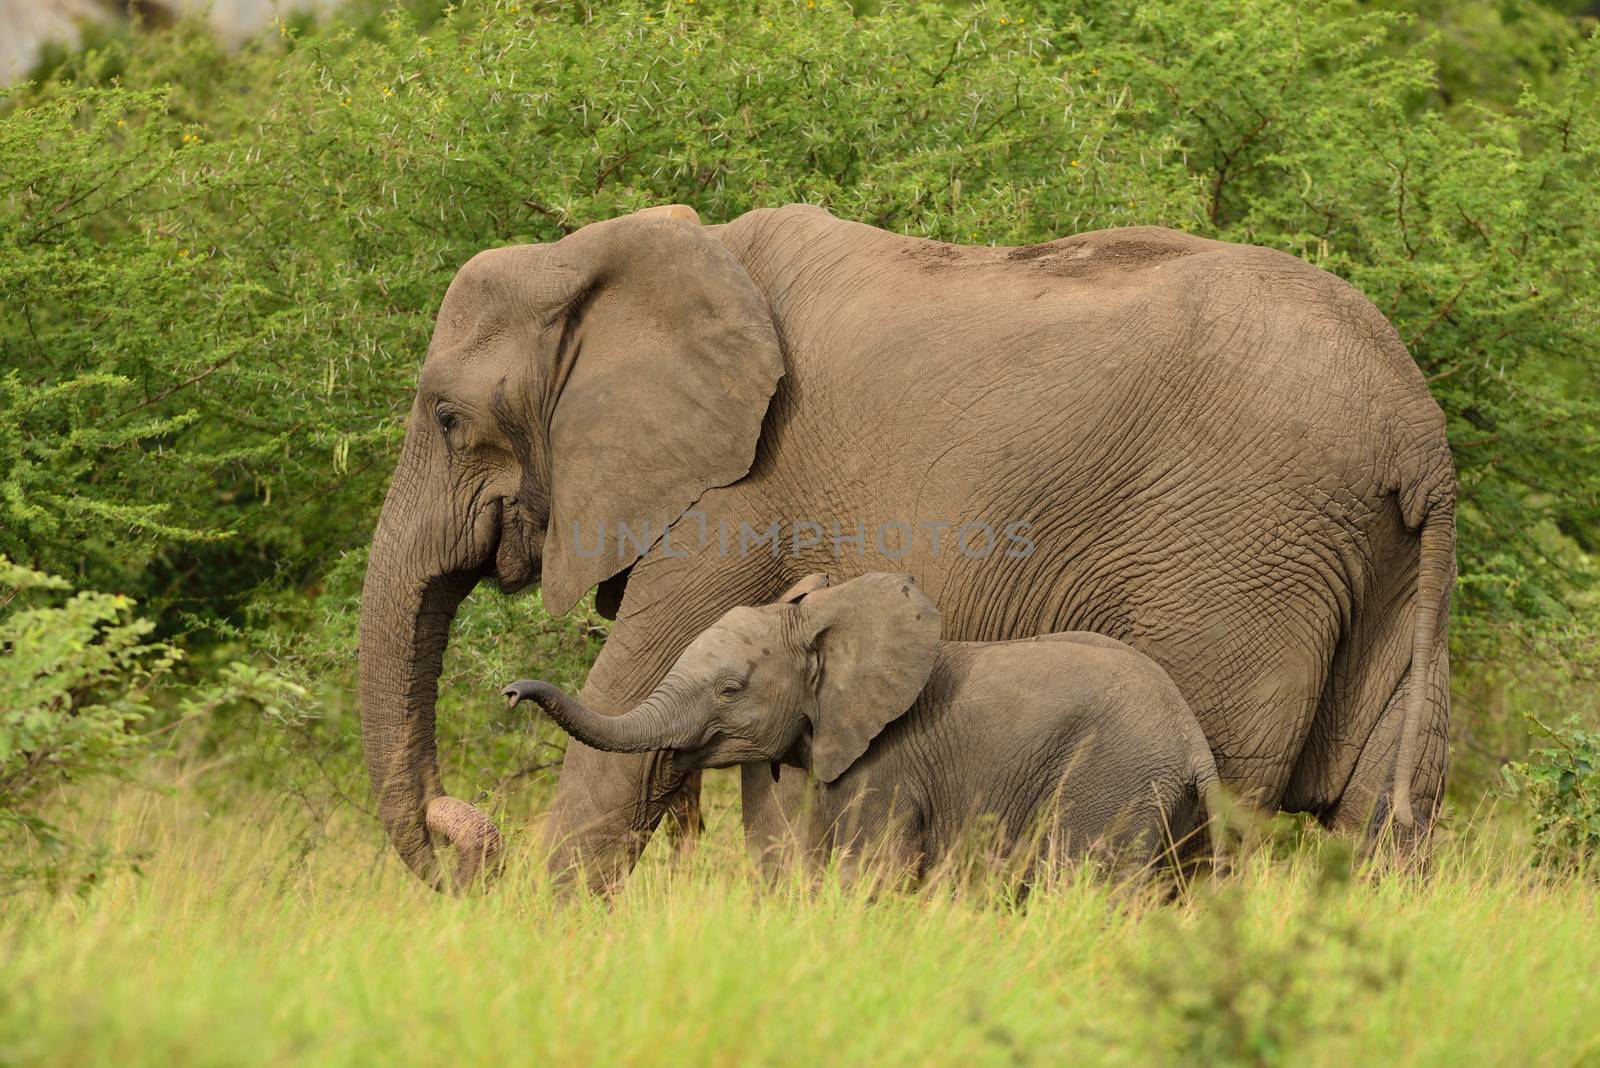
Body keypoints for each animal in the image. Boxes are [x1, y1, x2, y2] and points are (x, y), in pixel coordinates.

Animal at [505, 575, 1216, 882]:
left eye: (730, 690)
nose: (511, 692)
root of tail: (1190, 736)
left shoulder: (887, 764)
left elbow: (873, 869)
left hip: (1111, 781)